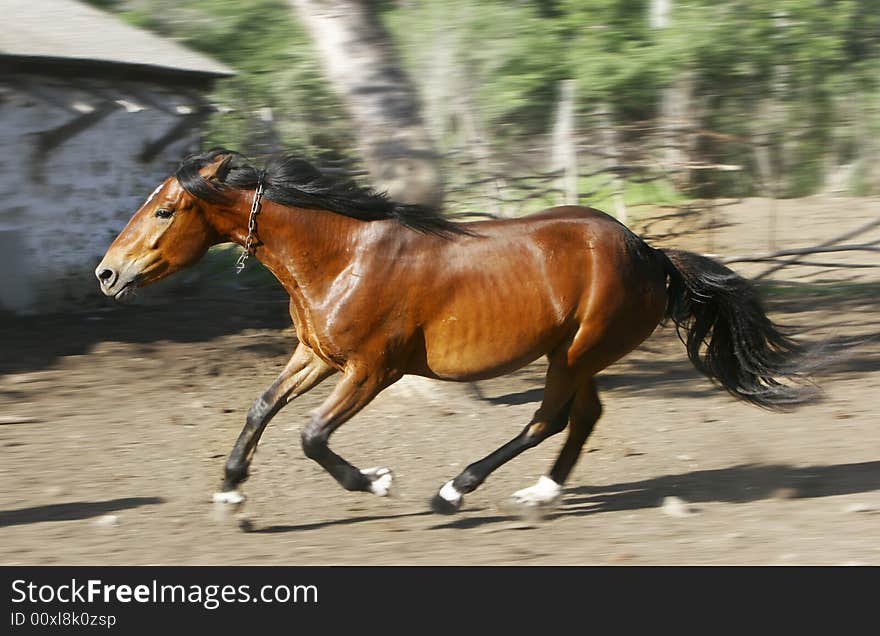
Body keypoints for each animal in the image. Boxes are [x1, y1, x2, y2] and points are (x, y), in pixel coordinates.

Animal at [93, 148, 816, 512]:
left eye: (164, 210)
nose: (106, 273)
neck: (343, 255)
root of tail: (651, 253)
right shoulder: (317, 354)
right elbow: (261, 407)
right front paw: (229, 490)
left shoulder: (372, 369)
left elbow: (311, 435)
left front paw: (376, 480)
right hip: (574, 354)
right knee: (583, 418)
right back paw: (540, 492)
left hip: (576, 353)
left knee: (548, 420)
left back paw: (453, 490)